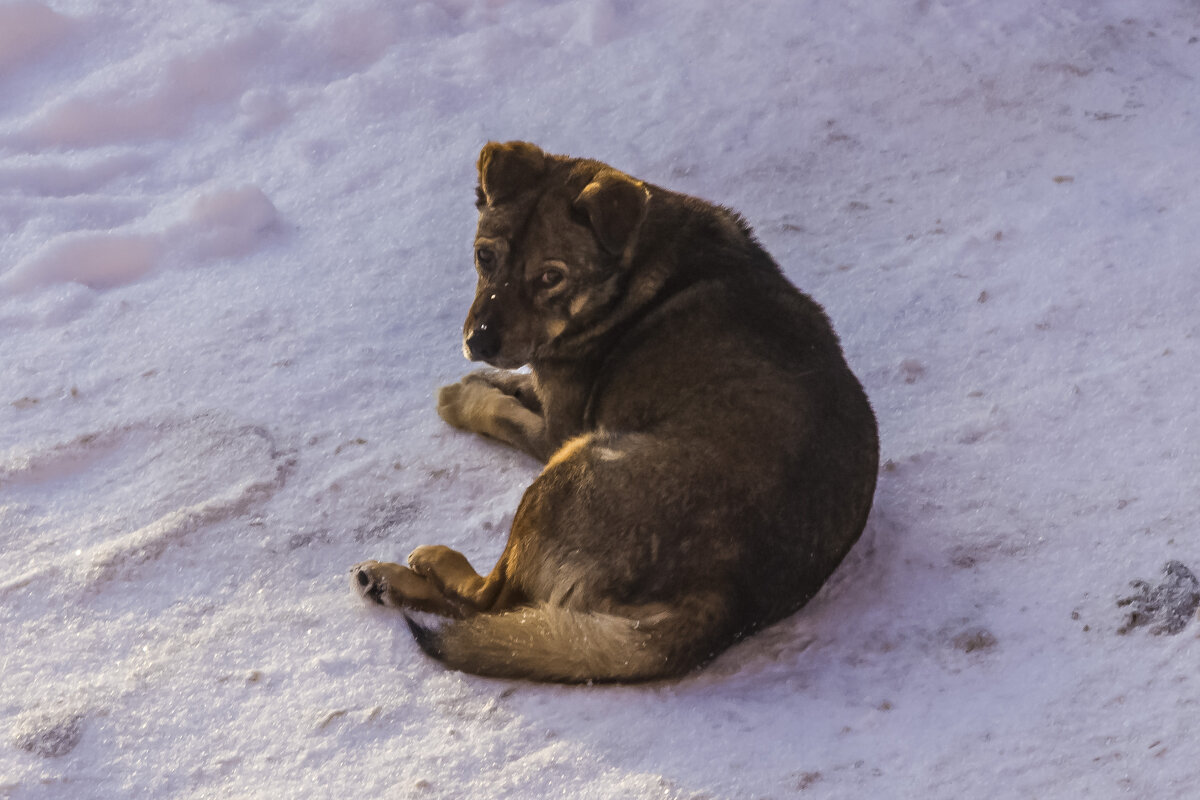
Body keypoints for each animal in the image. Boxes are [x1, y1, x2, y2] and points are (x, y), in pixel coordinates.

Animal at [350, 142, 878, 681]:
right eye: (484, 256)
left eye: (551, 277)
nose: (478, 342)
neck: (631, 268)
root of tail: (725, 598)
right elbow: (520, 382)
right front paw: (490, 380)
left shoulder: (557, 432)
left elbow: (505, 413)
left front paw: (464, 399)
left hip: (569, 469)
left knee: (488, 602)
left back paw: (410, 570)